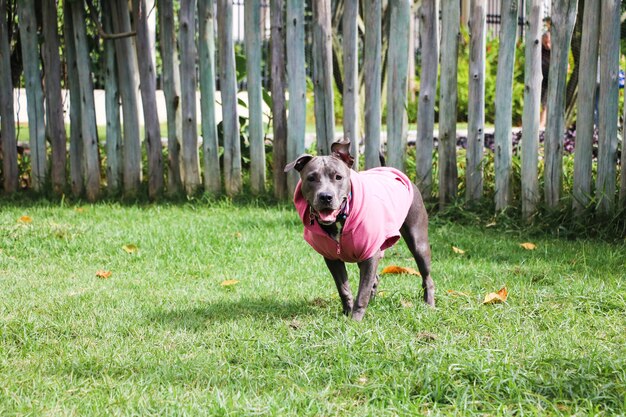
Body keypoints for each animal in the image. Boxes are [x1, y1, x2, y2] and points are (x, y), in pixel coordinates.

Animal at [284, 138, 434, 320]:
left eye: (338, 177)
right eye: (311, 178)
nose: (326, 197)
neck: (341, 218)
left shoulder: (370, 256)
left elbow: (362, 292)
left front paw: (356, 319)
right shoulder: (332, 258)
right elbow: (344, 288)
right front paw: (347, 312)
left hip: (418, 241)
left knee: (426, 276)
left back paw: (429, 304)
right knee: (374, 280)